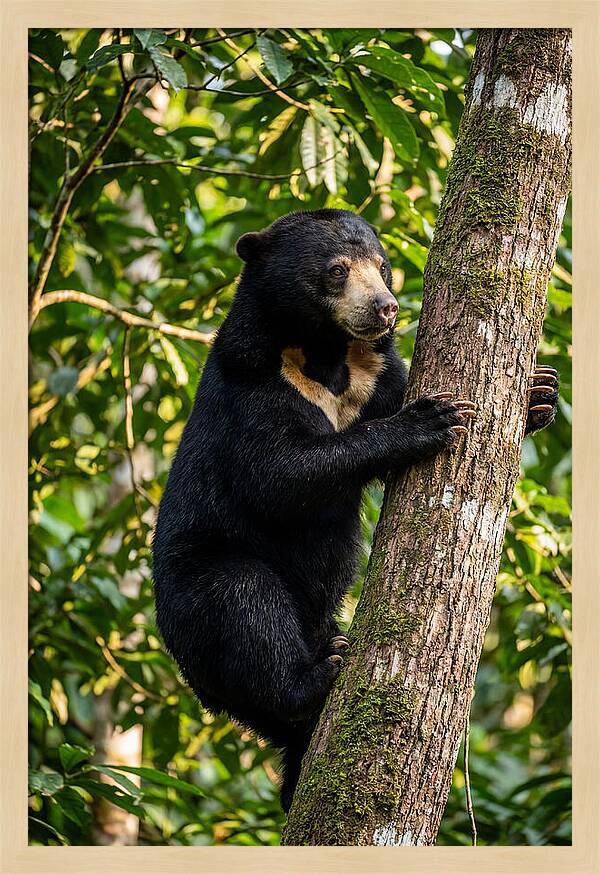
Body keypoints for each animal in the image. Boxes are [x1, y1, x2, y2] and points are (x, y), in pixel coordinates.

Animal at [152, 208, 559, 812]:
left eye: (384, 267)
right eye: (338, 270)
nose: (386, 307)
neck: (326, 354)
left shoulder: (375, 373)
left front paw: (538, 393)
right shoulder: (252, 381)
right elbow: (278, 474)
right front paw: (430, 420)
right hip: (198, 587)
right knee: (243, 603)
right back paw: (321, 672)